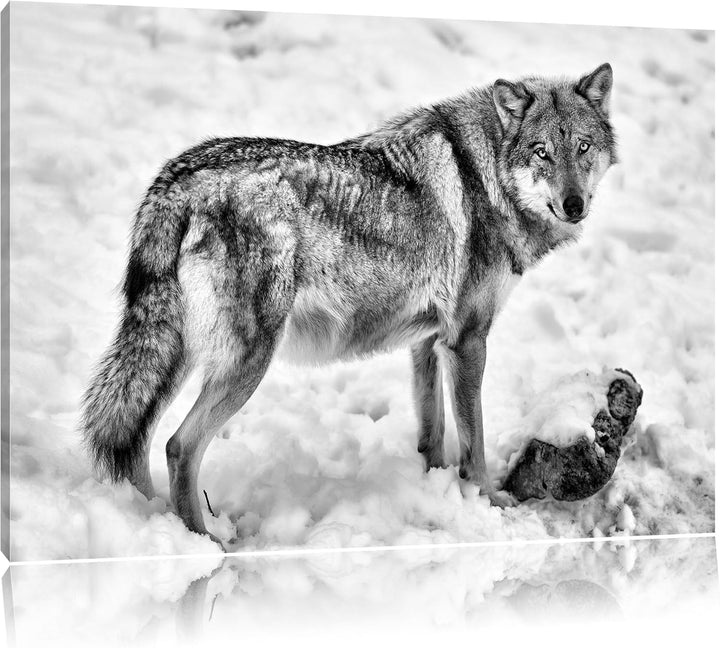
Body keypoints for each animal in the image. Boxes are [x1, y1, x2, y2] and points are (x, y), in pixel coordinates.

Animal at [81, 63, 616, 544]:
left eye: (582, 147)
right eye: (542, 153)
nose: (574, 205)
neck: (485, 178)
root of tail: (176, 180)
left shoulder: (428, 342)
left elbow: (433, 432)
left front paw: (437, 492)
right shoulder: (467, 342)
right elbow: (474, 442)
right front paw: (488, 504)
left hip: (178, 358)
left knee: (139, 442)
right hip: (246, 363)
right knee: (179, 446)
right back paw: (207, 543)